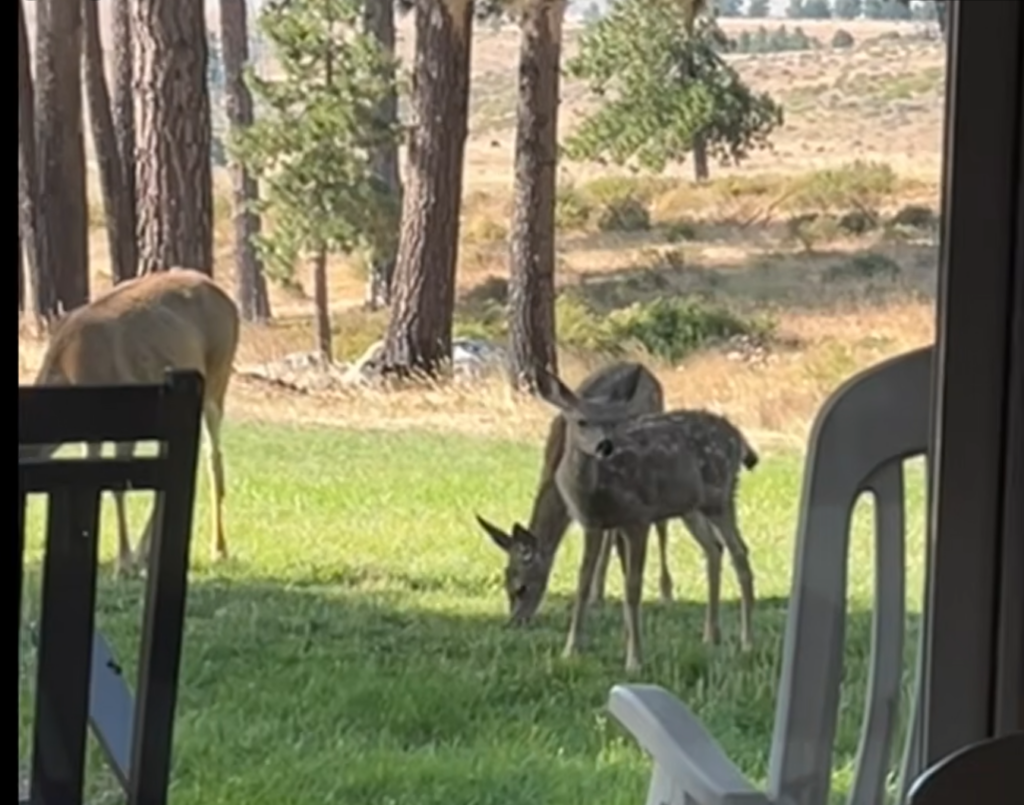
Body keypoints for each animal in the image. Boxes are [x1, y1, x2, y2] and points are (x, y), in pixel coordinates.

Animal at [23, 268, 240, 577]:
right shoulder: (93, 433)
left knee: (214, 458)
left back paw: (218, 550)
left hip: (218, 374)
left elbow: (118, 487)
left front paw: (123, 562)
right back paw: (146, 553)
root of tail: (229, 301)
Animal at [476, 362, 674, 625]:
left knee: (659, 524)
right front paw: (593, 599)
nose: (514, 622)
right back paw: (599, 594)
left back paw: (666, 593)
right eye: (505, 585)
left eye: (522, 588)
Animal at [533, 364, 759, 672]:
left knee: (740, 552)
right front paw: (570, 650)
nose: (605, 446)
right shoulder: (593, 524)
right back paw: (710, 636)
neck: (593, 492)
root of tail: (738, 437)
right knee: (715, 548)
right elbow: (582, 583)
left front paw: (634, 659)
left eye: (614, 422)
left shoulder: (637, 518)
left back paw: (747, 642)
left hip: (720, 496)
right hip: (692, 506)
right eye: (581, 421)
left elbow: (632, 588)